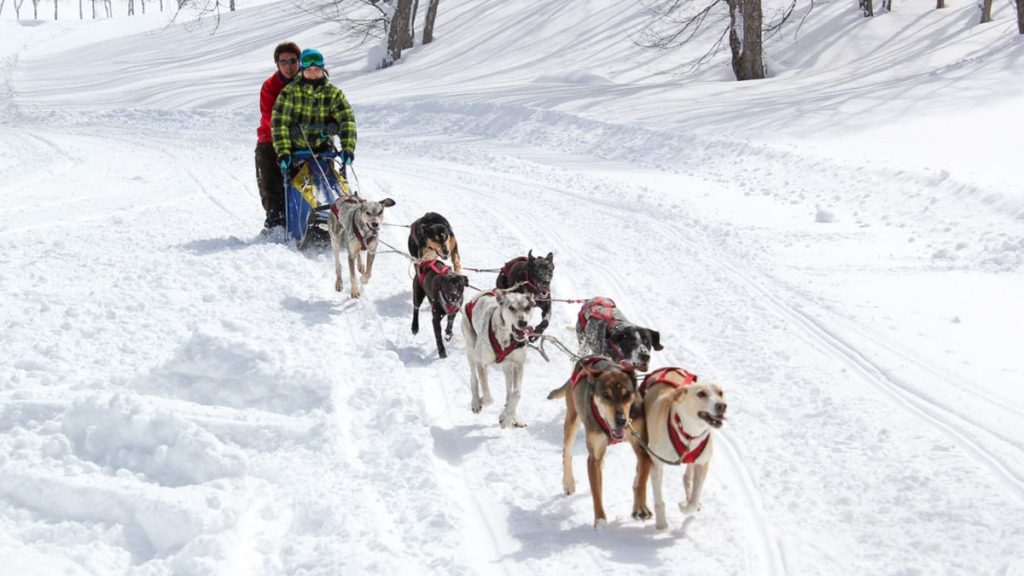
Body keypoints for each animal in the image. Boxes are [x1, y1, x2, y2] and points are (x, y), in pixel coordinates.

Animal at [462, 286, 536, 426]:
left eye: (527, 307)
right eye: (511, 307)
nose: (523, 322)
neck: (505, 337)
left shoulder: (518, 364)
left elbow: (516, 393)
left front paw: (507, 416)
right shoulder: (481, 363)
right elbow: (488, 396)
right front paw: (482, 400)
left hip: (507, 366)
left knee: (509, 391)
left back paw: (512, 416)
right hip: (471, 350)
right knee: (473, 378)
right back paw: (476, 401)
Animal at [548, 356, 651, 528]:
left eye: (627, 395)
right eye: (606, 395)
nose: (621, 420)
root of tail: (584, 360)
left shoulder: (642, 447)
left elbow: (641, 479)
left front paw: (640, 508)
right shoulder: (593, 458)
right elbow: (596, 492)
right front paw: (600, 522)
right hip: (573, 420)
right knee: (567, 453)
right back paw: (568, 482)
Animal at [638, 366, 729, 528]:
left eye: (720, 393)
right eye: (701, 394)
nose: (722, 405)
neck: (689, 434)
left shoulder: (702, 464)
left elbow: (694, 499)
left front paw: (685, 506)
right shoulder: (656, 464)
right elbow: (658, 499)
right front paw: (661, 524)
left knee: (687, 477)